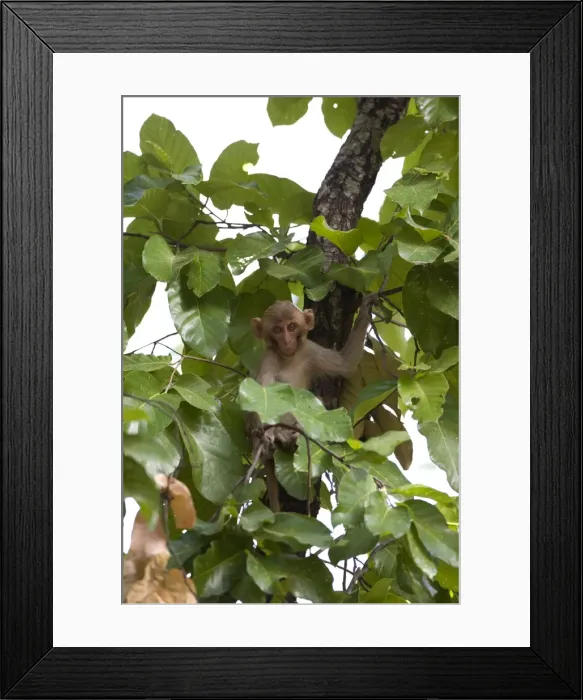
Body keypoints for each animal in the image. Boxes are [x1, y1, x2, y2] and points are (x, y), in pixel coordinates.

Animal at [244, 294, 376, 513]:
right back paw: (277, 437)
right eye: (277, 330)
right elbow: (261, 394)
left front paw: (365, 310)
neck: (288, 357)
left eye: (291, 327)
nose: (286, 340)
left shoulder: (309, 350)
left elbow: (345, 364)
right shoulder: (269, 358)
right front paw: (265, 436)